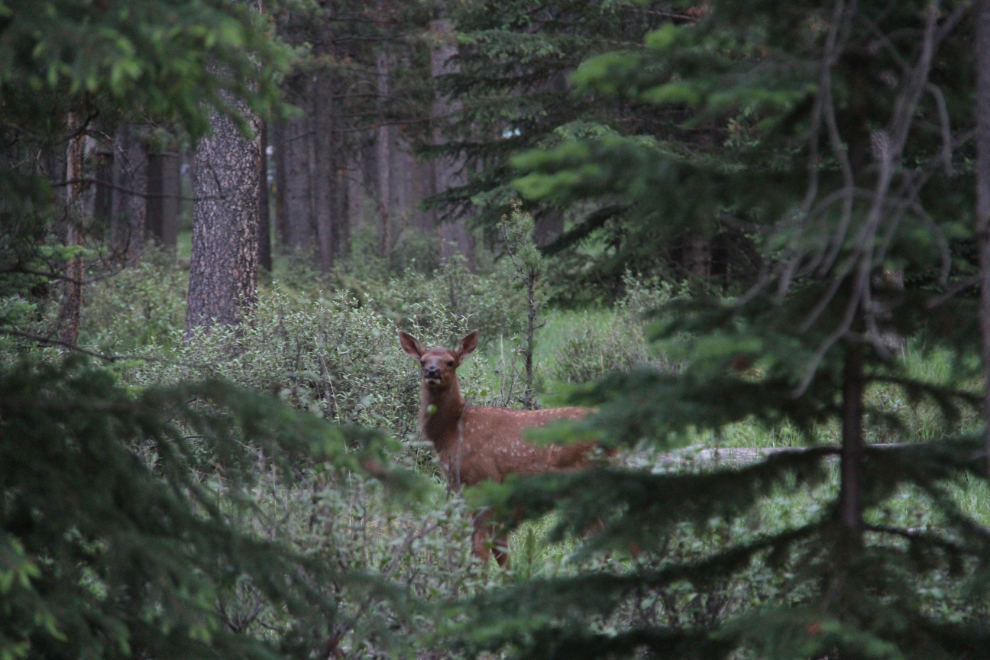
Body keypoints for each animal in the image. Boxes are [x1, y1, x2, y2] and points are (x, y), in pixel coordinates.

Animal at [398, 330, 596, 568]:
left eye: (450, 361)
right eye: (422, 360)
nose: (432, 371)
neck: (452, 433)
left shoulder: (484, 480)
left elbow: (481, 549)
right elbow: (502, 552)